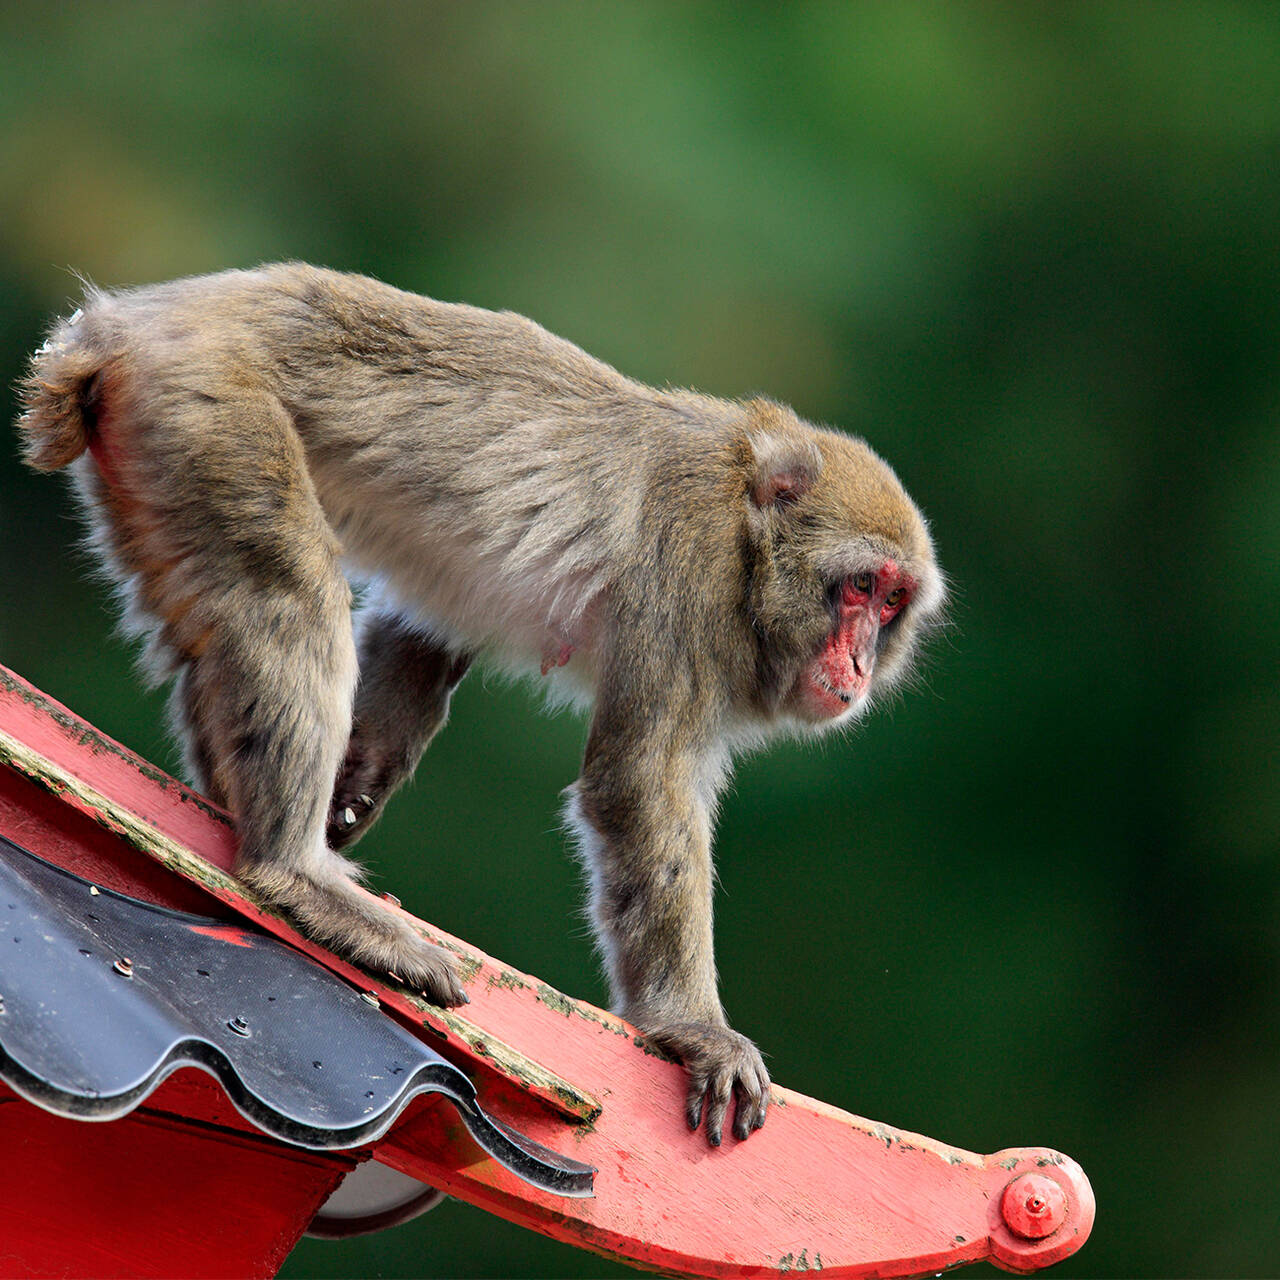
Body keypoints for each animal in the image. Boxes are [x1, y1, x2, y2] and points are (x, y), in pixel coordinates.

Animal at [15, 264, 947, 1146]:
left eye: (892, 601)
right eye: (857, 587)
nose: (859, 662)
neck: (746, 531)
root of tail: (134, 319)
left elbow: (427, 622)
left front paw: (359, 781)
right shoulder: (689, 572)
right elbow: (639, 785)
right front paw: (692, 1028)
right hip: (210, 409)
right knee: (287, 589)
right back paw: (292, 871)